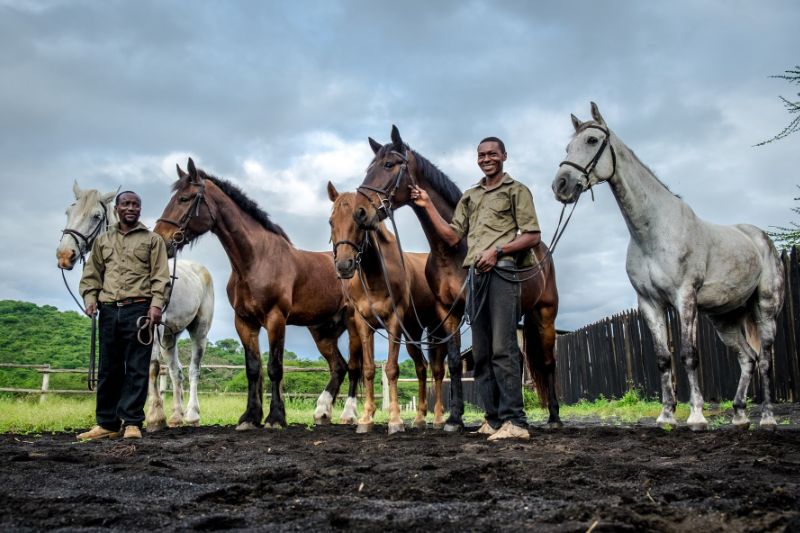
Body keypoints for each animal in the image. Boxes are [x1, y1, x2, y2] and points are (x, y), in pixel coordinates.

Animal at [154, 158, 360, 430]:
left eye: (184, 199)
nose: (161, 238)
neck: (255, 261)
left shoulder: (275, 319)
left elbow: (274, 368)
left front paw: (275, 418)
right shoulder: (244, 322)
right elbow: (253, 369)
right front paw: (250, 417)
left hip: (355, 324)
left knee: (356, 367)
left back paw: (350, 414)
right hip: (322, 331)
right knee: (338, 367)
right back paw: (322, 412)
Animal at [328, 183, 450, 434]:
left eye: (359, 221)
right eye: (331, 221)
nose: (344, 266)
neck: (376, 275)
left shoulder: (394, 322)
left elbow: (392, 369)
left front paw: (395, 419)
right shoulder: (364, 324)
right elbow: (368, 369)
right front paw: (366, 418)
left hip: (437, 329)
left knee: (437, 370)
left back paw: (438, 418)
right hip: (413, 332)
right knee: (422, 368)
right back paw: (420, 418)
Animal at [552, 102, 785, 430]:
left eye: (592, 141)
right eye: (568, 146)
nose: (560, 185)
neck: (653, 230)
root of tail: (759, 237)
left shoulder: (684, 297)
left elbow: (688, 354)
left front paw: (696, 416)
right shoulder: (649, 303)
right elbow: (663, 358)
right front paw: (666, 415)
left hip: (765, 308)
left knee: (764, 358)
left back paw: (767, 418)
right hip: (725, 318)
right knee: (747, 358)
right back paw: (739, 415)